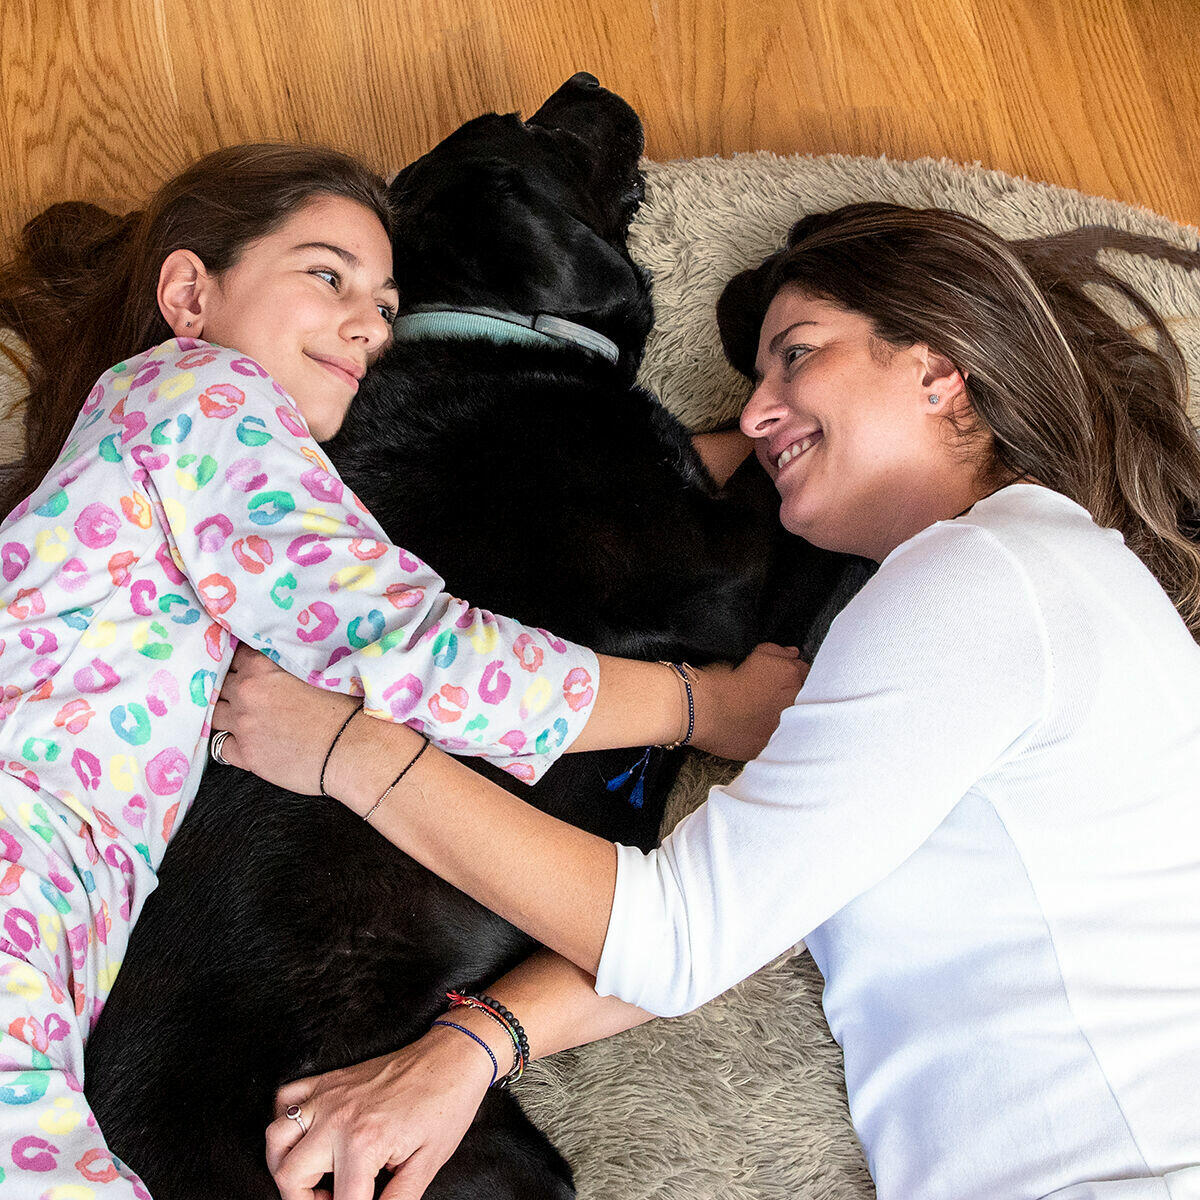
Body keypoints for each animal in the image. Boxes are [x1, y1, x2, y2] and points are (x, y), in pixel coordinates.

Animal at [84, 77, 873, 1200]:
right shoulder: (733, 567)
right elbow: (789, 485)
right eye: (535, 134)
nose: (587, 83)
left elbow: (737, 442)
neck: (492, 324)